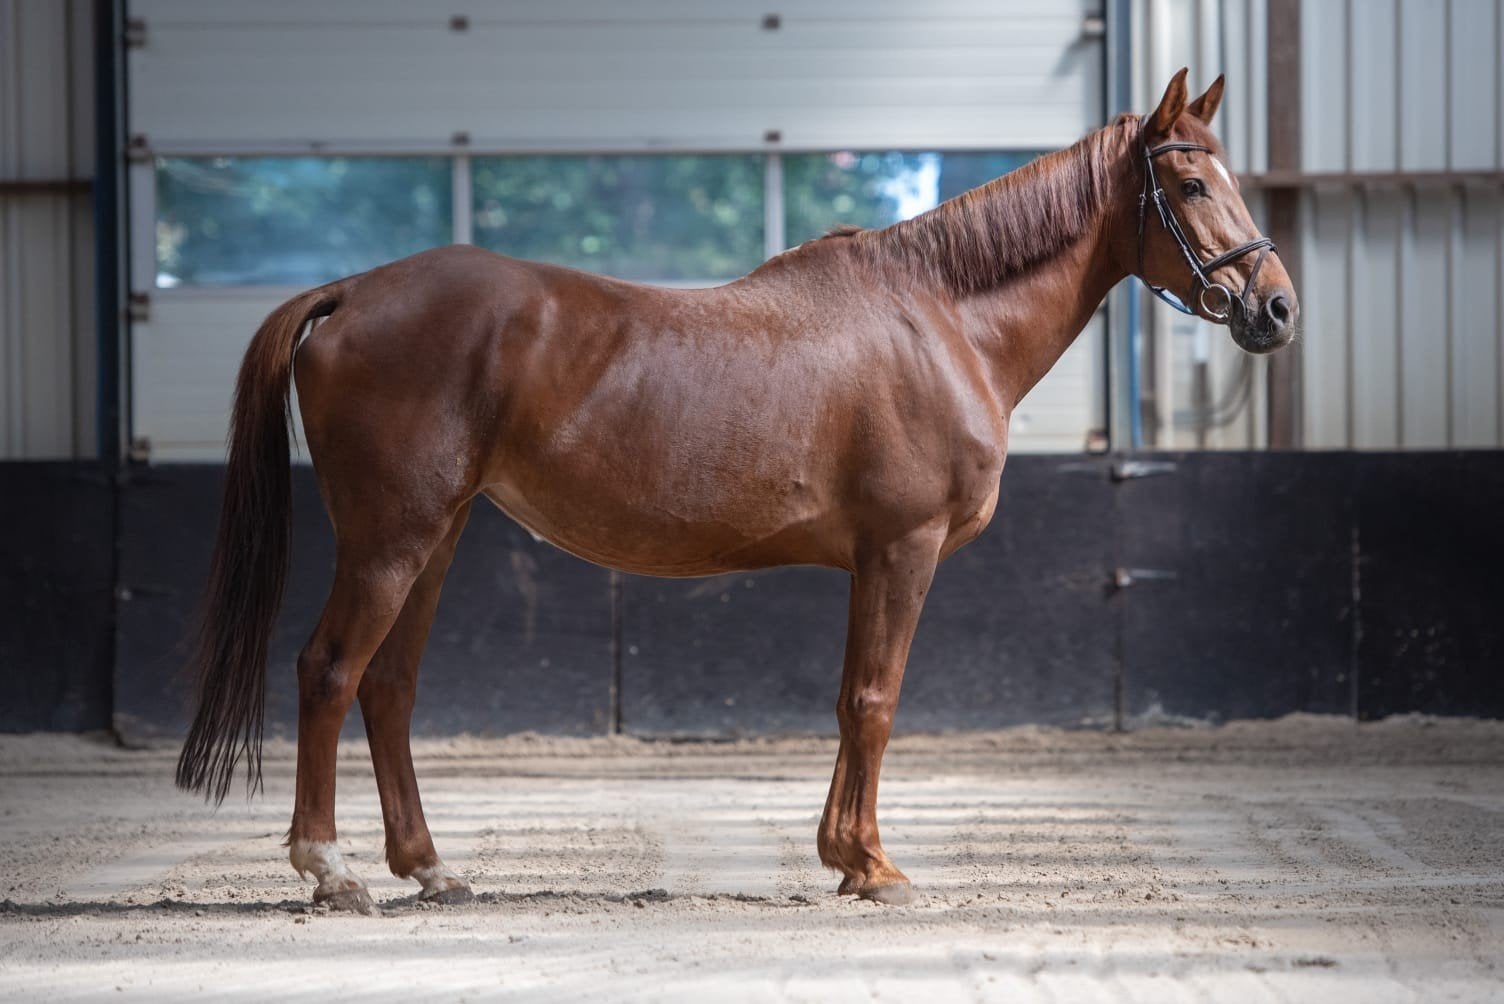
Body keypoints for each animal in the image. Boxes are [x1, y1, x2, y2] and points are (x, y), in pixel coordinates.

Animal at [176, 69, 1298, 912]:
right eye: (1189, 186)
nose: (1276, 307)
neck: (939, 319)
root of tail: (349, 293)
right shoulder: (902, 549)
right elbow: (876, 698)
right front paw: (874, 865)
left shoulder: (873, 558)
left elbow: (851, 699)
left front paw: (845, 856)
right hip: (391, 539)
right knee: (328, 672)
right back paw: (331, 870)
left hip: (436, 536)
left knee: (389, 687)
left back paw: (431, 868)